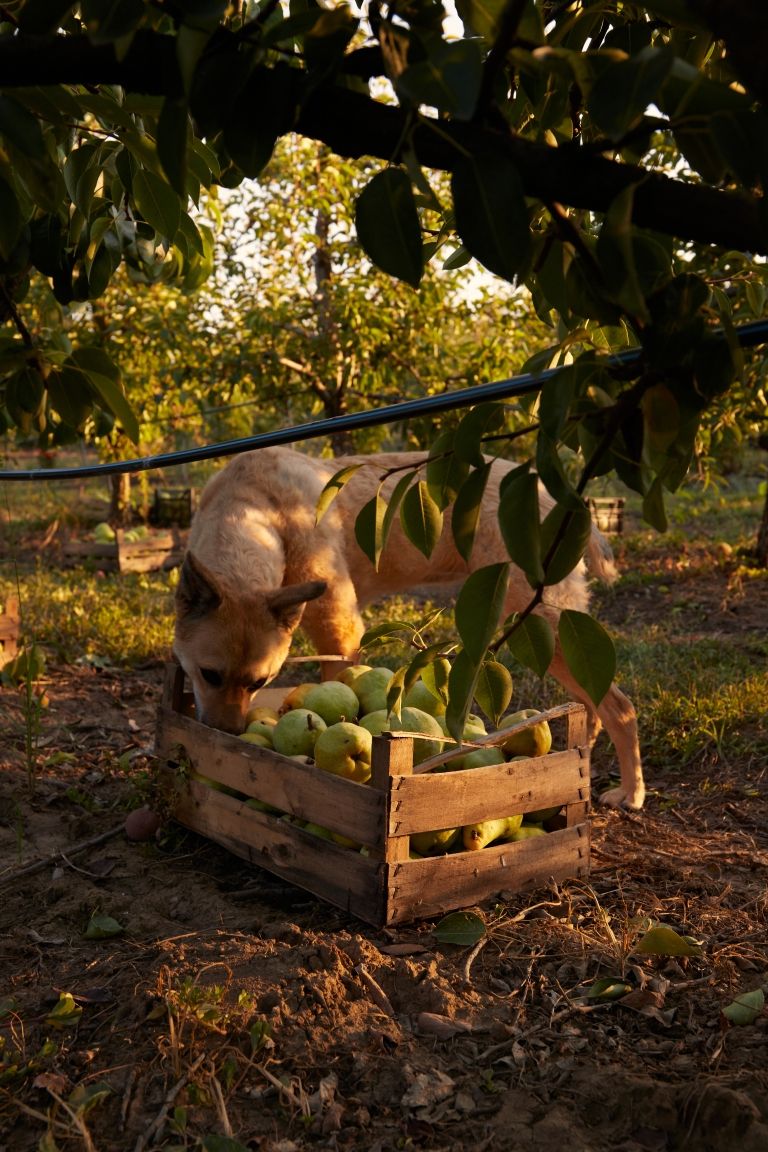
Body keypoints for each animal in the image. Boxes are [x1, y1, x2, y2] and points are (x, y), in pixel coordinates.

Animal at [172, 444, 644, 806]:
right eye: (209, 675)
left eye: (259, 682)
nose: (223, 737)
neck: (256, 511)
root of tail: (564, 500)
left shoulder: (342, 635)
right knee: (594, 704)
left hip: (544, 624)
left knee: (621, 708)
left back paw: (631, 794)